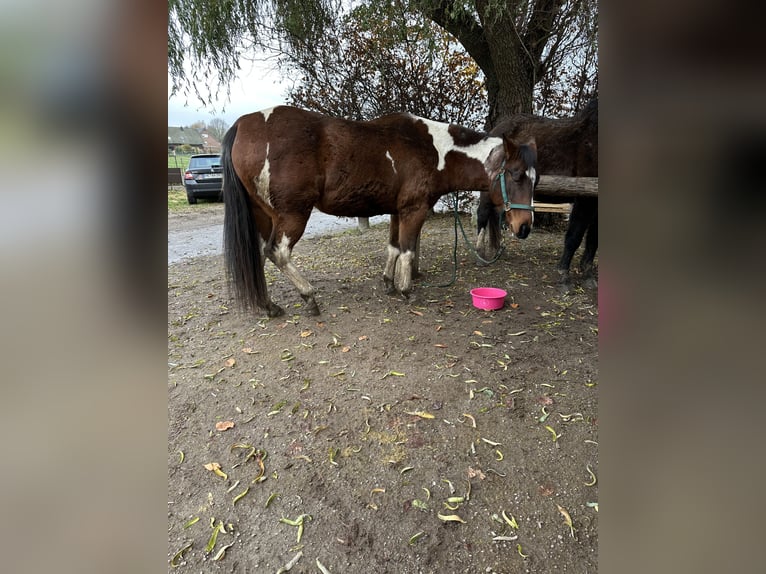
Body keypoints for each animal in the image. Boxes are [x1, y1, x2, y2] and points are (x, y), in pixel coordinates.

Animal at [221, 105, 538, 317]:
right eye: (516, 175)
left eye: (535, 179)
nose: (525, 227)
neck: (435, 151)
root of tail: (244, 124)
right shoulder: (414, 210)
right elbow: (407, 249)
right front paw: (406, 290)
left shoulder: (397, 211)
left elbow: (393, 247)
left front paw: (389, 283)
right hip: (292, 214)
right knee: (278, 252)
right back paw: (309, 297)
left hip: (263, 215)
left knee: (260, 254)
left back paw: (269, 306)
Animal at [475, 98, 598, 291]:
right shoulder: (585, 198)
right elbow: (575, 236)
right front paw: (564, 275)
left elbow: (593, 239)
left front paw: (588, 275)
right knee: (483, 214)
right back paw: (481, 255)